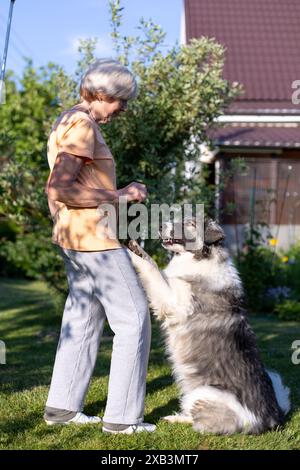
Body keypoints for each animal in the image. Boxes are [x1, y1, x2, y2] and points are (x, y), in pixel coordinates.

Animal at [126, 218, 290, 436]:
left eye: (189, 223)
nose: (160, 226)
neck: (201, 258)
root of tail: (272, 419)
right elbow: (152, 263)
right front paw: (133, 247)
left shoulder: (173, 302)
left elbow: (152, 270)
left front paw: (128, 253)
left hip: (203, 392)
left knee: (200, 423)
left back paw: (176, 419)